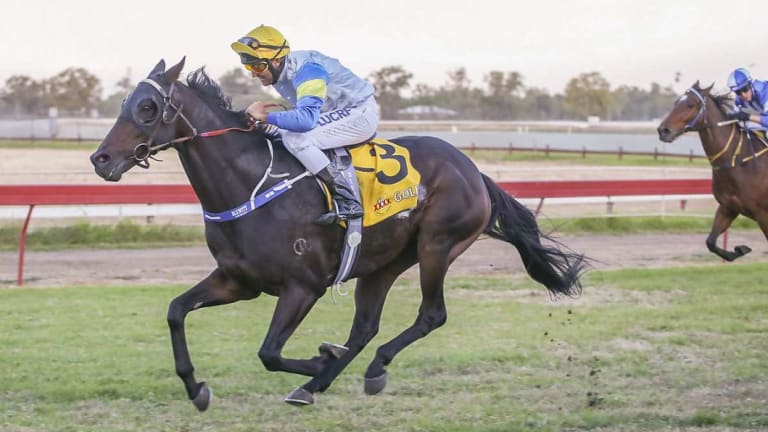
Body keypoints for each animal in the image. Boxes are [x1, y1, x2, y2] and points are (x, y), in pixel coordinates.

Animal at [90, 58, 584, 412]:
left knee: (431, 315)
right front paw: (196, 388)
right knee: (365, 326)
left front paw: (320, 359)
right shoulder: (237, 281)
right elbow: (176, 311)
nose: (100, 159)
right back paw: (326, 381)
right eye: (124, 103)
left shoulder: (303, 286)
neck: (250, 185)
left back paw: (358, 370)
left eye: (148, 108)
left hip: (437, 245)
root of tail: (473, 170)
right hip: (382, 263)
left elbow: (269, 352)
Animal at [656, 82, 768, 262]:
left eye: (690, 104)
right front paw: (740, 250)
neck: (738, 161)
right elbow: (711, 242)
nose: (663, 130)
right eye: (675, 102)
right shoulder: (727, 208)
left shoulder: (764, 215)